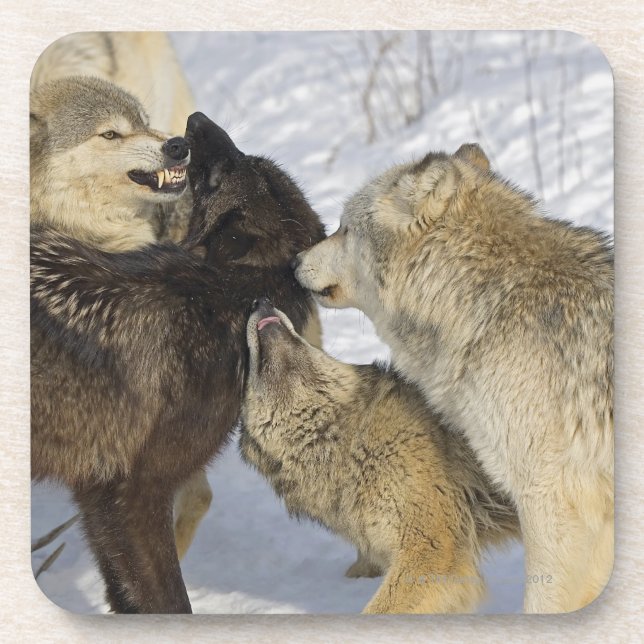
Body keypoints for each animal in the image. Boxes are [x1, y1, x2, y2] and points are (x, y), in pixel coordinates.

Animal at [31, 112, 325, 612]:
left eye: (225, 171)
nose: (195, 121)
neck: (226, 301)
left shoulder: (102, 495)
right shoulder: (130, 494)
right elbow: (167, 602)